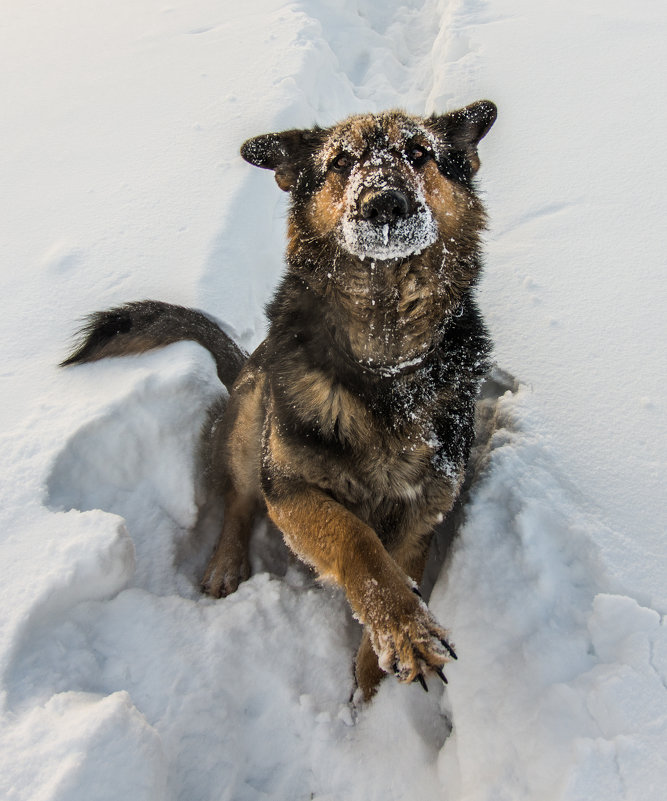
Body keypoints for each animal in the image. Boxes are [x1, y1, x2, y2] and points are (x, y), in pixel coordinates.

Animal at [62, 101, 498, 700]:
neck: (383, 359)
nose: (384, 203)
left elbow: (393, 578)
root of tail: (244, 363)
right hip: (253, 423)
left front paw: (373, 689)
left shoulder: (420, 516)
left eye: (419, 153)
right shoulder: (291, 490)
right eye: (340, 162)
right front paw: (403, 626)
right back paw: (225, 564)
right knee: (240, 502)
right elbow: (358, 542)